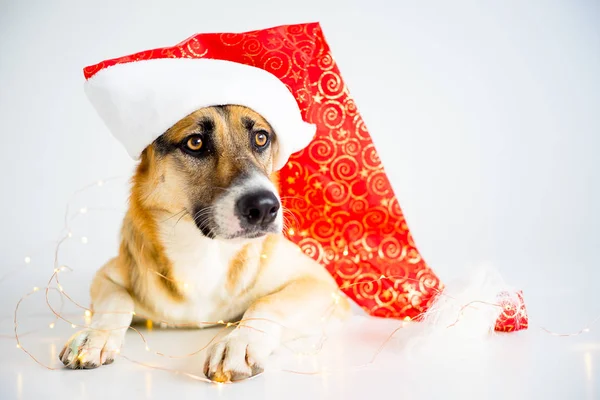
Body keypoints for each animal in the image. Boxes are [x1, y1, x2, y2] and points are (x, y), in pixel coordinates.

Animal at [58, 104, 350, 382]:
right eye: (195, 142)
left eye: (261, 138)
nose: (265, 207)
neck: (204, 250)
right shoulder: (105, 276)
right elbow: (117, 300)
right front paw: (95, 335)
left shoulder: (322, 285)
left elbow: (266, 304)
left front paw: (239, 342)